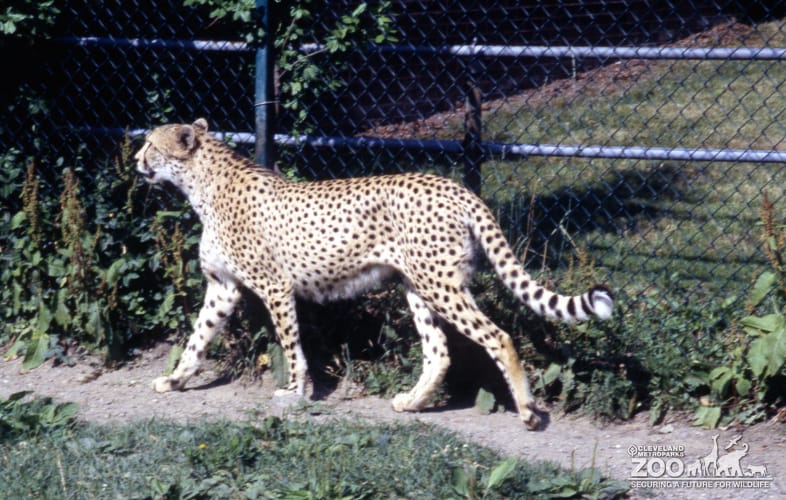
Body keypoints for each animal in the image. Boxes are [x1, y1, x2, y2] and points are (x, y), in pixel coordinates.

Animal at [134, 118, 614, 429]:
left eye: (151, 145)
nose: (136, 159)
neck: (202, 182)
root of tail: (454, 185)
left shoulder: (274, 286)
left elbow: (291, 345)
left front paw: (296, 392)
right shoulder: (224, 287)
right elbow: (197, 339)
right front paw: (175, 380)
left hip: (440, 285)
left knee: (497, 336)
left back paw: (529, 411)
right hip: (418, 286)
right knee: (439, 351)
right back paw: (413, 402)